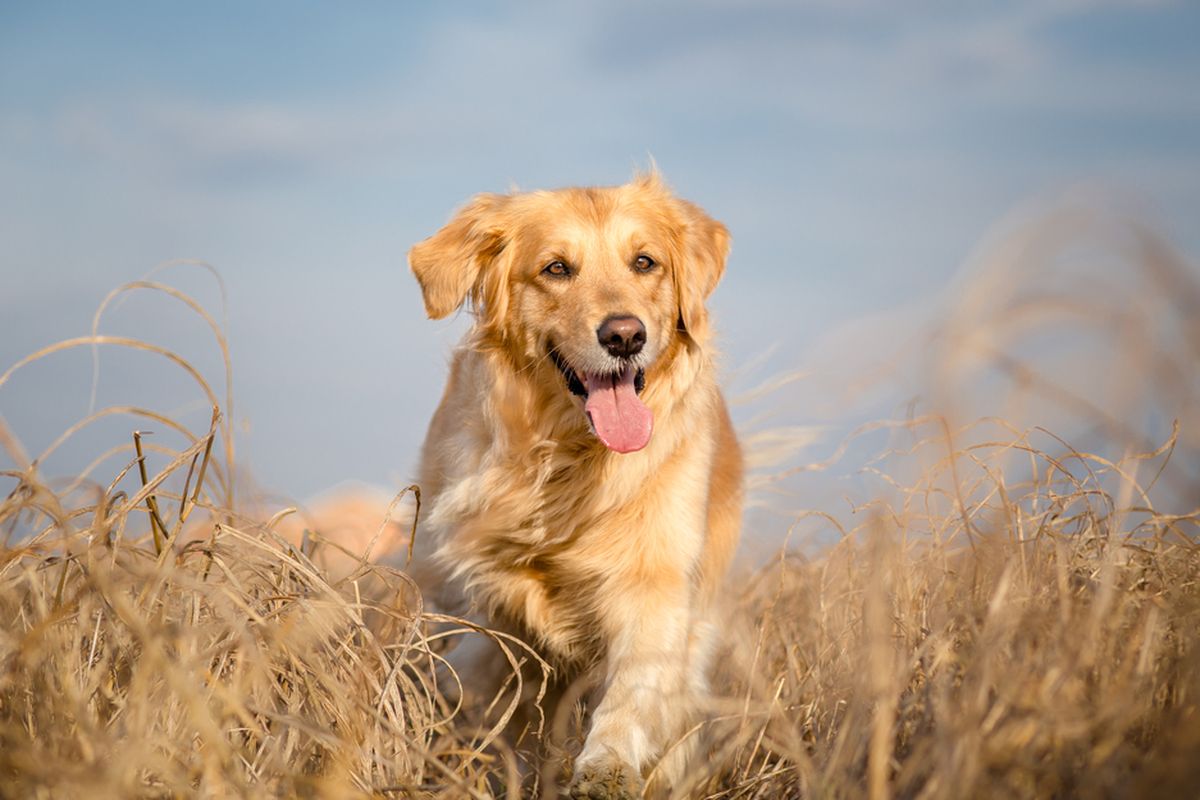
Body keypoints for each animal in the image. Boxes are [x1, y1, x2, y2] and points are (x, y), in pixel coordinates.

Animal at [408, 172, 734, 796]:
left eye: (644, 262)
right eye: (557, 268)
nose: (625, 336)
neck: (570, 459)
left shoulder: (655, 580)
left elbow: (634, 687)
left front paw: (607, 765)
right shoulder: (488, 593)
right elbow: (491, 683)